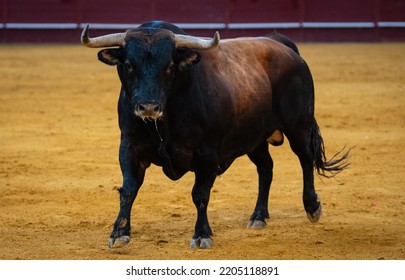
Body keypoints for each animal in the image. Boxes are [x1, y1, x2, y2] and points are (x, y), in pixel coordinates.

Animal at [81, 21, 348, 249]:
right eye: (128, 65)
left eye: (169, 66)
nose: (148, 107)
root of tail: (281, 44)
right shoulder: (129, 148)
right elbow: (128, 191)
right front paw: (119, 233)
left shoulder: (207, 155)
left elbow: (200, 194)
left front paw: (202, 234)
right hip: (255, 138)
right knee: (266, 168)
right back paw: (258, 216)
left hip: (299, 125)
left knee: (305, 159)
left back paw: (312, 206)